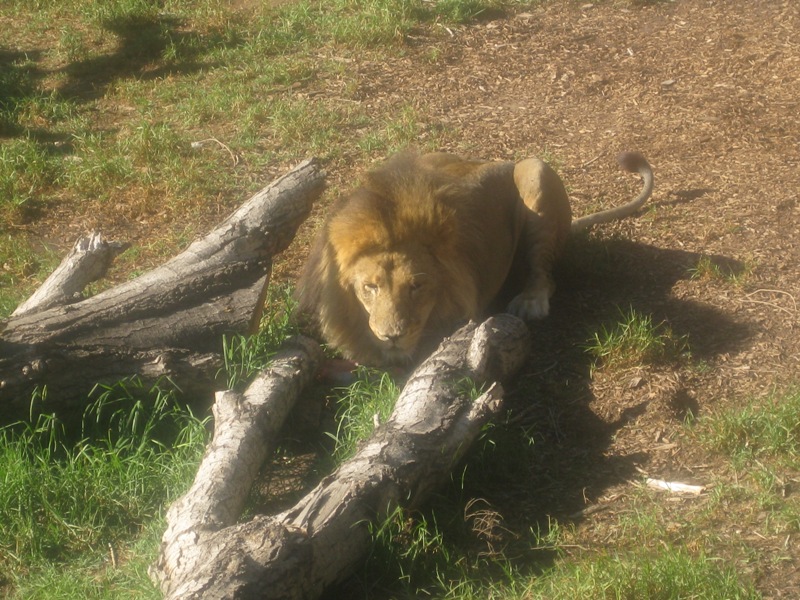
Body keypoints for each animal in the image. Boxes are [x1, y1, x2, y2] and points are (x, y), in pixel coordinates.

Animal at [296, 150, 652, 366]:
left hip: (535, 169)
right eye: (370, 287)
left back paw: (530, 302)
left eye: (417, 287)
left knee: (544, 274)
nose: (392, 336)